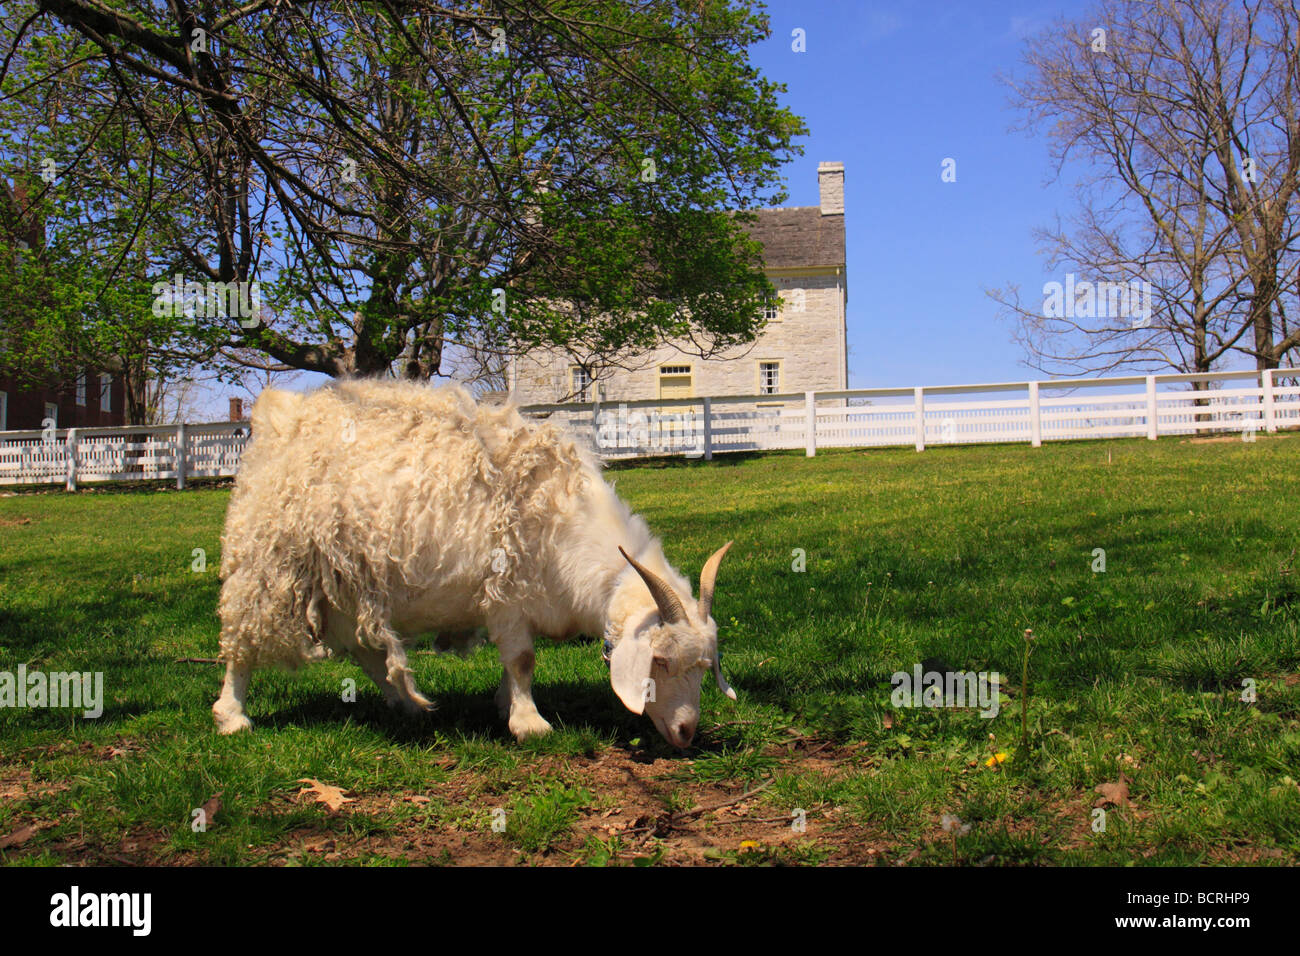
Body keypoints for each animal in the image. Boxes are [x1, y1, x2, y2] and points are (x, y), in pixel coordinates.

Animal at [218, 379, 738, 749]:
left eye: (706, 665)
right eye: (661, 661)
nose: (686, 734)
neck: (562, 520)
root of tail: (278, 415)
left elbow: (514, 666)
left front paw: (505, 704)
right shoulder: (505, 594)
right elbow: (523, 659)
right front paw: (529, 724)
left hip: (348, 582)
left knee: (367, 649)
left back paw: (405, 704)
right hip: (267, 567)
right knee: (241, 646)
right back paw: (232, 715)